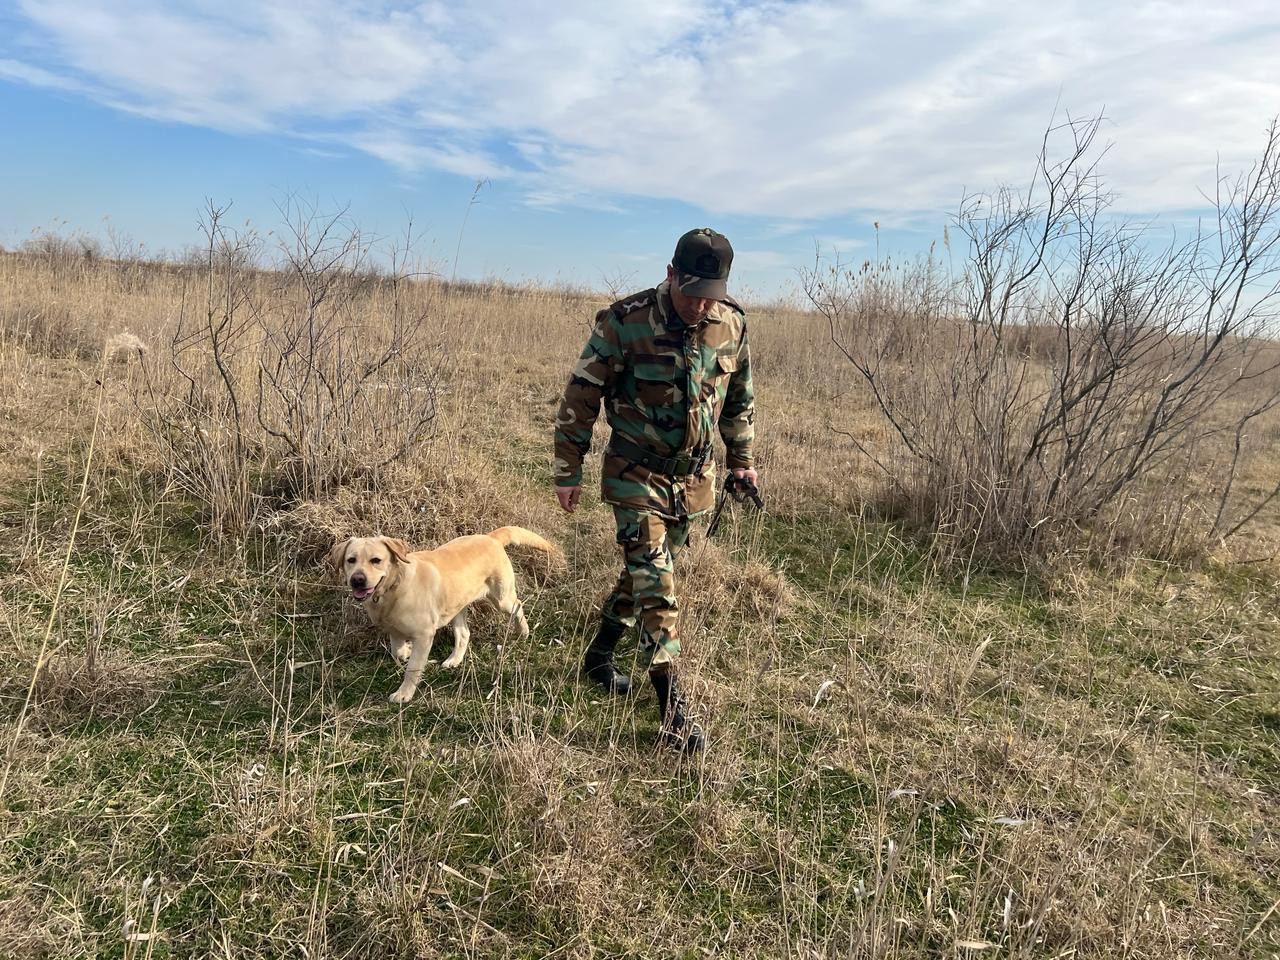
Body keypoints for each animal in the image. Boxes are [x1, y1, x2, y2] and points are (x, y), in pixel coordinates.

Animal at [330, 527, 555, 706]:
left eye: (376, 560)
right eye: (351, 560)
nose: (357, 580)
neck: (395, 586)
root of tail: (491, 537)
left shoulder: (424, 635)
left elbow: (412, 668)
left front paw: (404, 694)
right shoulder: (394, 632)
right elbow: (398, 653)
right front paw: (407, 652)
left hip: (502, 599)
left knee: (518, 606)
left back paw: (523, 632)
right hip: (457, 606)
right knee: (464, 634)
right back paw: (454, 660)